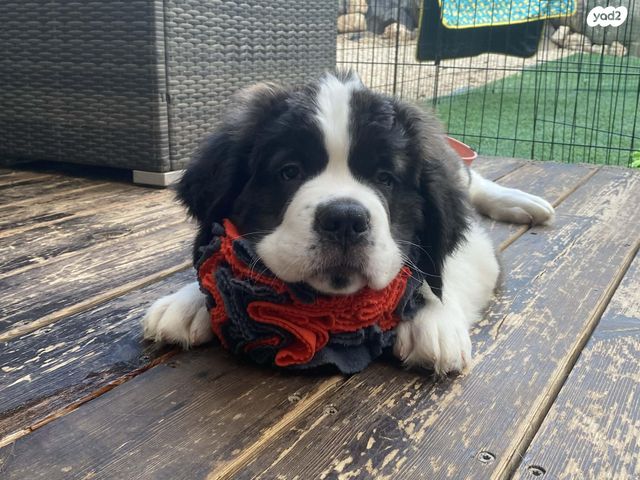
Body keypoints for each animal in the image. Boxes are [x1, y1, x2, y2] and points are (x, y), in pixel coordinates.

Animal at [142, 72, 554, 374]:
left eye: (385, 178)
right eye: (289, 172)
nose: (344, 220)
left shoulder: (479, 253)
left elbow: (441, 270)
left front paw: (433, 320)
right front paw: (190, 300)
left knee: (472, 182)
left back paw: (524, 204)